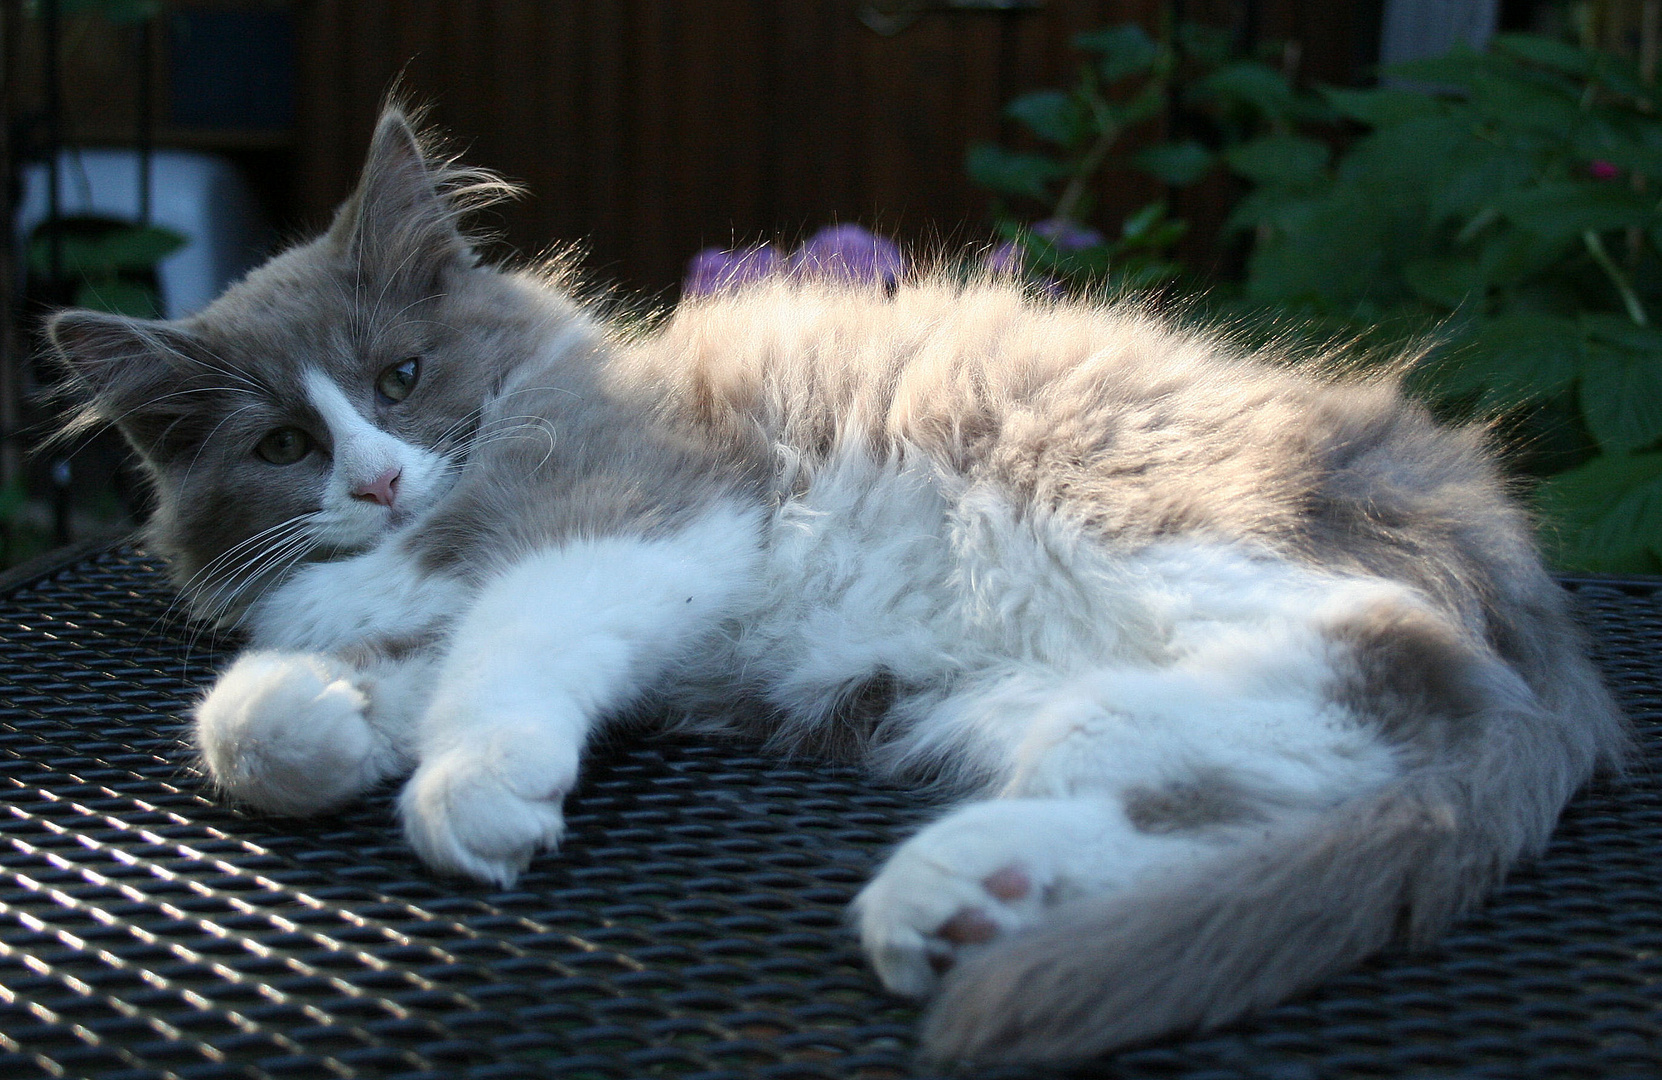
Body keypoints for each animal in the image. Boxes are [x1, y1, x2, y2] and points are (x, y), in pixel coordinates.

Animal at [48, 105, 1622, 1063]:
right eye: (283, 445)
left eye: (400, 377)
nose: (376, 480)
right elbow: (267, 714)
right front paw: (312, 724)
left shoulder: (646, 513)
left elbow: (510, 640)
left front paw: (473, 784)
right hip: (1021, 697)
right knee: (1256, 786)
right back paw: (973, 895)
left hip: (1187, 535)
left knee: (1394, 686)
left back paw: (979, 870)